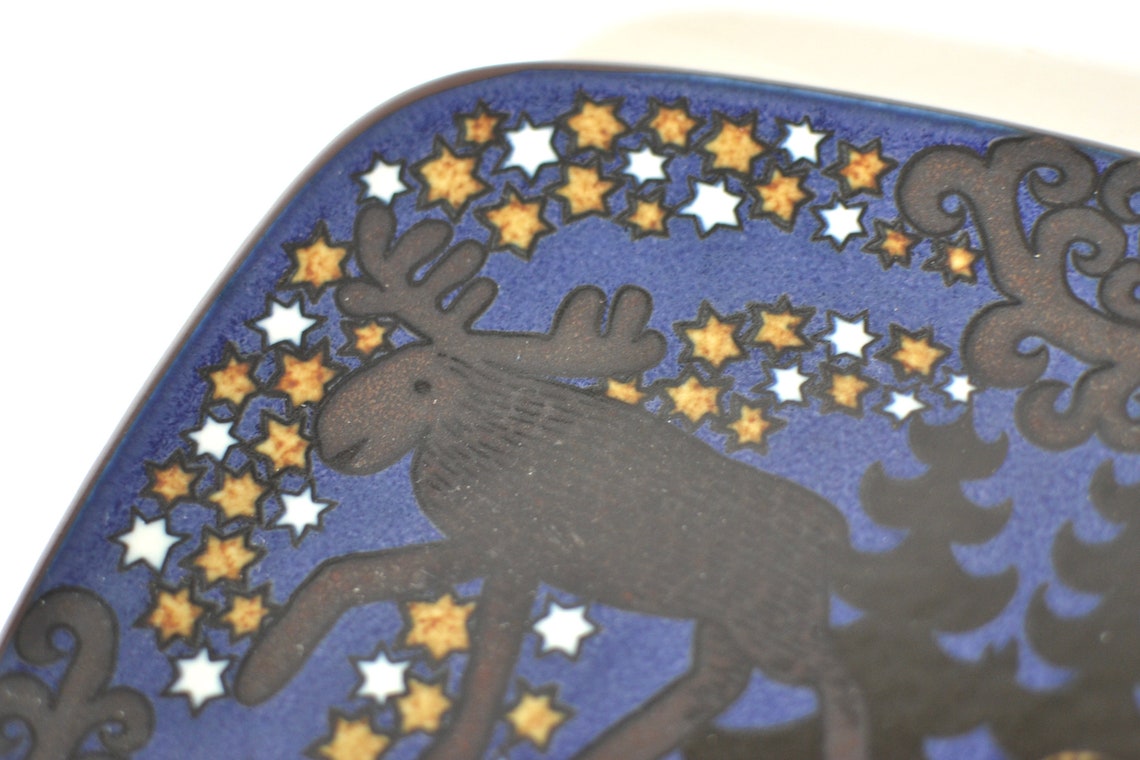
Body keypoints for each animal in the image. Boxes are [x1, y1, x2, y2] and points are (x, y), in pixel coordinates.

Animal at [233, 202, 868, 760]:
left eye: (420, 383)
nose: (332, 434)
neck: (485, 436)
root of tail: (836, 538)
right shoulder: (484, 545)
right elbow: (348, 575)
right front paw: (261, 677)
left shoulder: (516, 554)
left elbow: (489, 665)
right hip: (729, 622)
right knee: (717, 684)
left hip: (776, 624)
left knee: (837, 679)